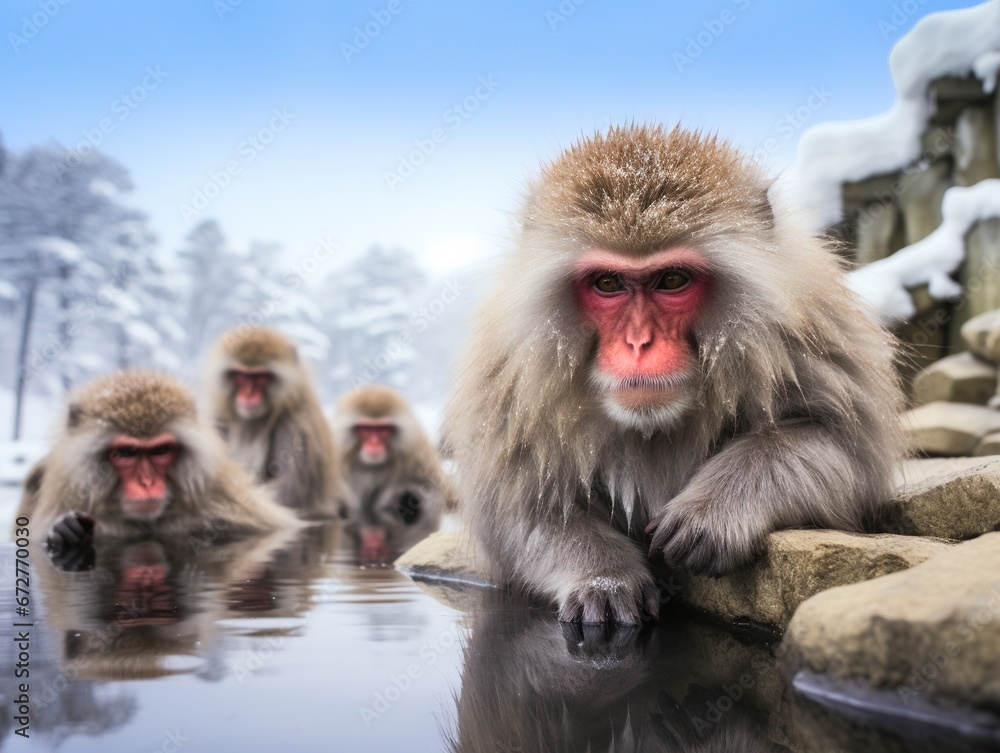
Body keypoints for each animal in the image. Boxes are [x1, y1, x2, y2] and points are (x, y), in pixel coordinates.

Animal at [204, 326, 346, 518]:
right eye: (242, 376)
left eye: (260, 377)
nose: (248, 395)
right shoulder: (218, 418)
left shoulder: (298, 424)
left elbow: (288, 490)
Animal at [443, 124, 905, 625]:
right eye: (608, 283)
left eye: (672, 280)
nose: (639, 344)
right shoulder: (509, 384)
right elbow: (516, 505)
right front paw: (604, 576)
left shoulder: (809, 336)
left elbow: (844, 446)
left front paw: (712, 510)